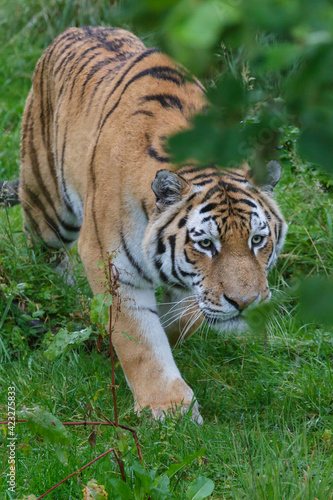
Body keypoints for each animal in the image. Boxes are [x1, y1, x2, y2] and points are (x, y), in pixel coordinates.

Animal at [0, 26, 286, 422]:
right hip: (49, 209)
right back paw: (60, 295)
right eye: (206, 244)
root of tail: (74, 29)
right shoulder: (111, 262)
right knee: (44, 253)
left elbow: (181, 318)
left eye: (258, 240)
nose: (245, 303)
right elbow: (139, 340)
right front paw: (169, 408)